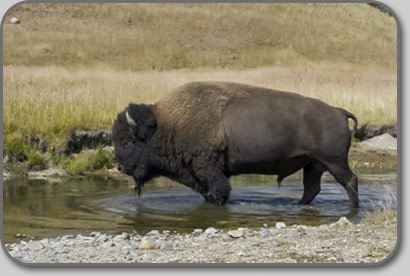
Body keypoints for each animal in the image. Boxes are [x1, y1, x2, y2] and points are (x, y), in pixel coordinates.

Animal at [112, 81, 358, 208]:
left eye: (127, 141)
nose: (120, 167)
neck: (167, 123)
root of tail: (338, 111)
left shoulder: (209, 170)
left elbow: (219, 192)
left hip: (334, 163)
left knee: (350, 181)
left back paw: (353, 209)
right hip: (313, 165)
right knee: (312, 188)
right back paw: (298, 205)